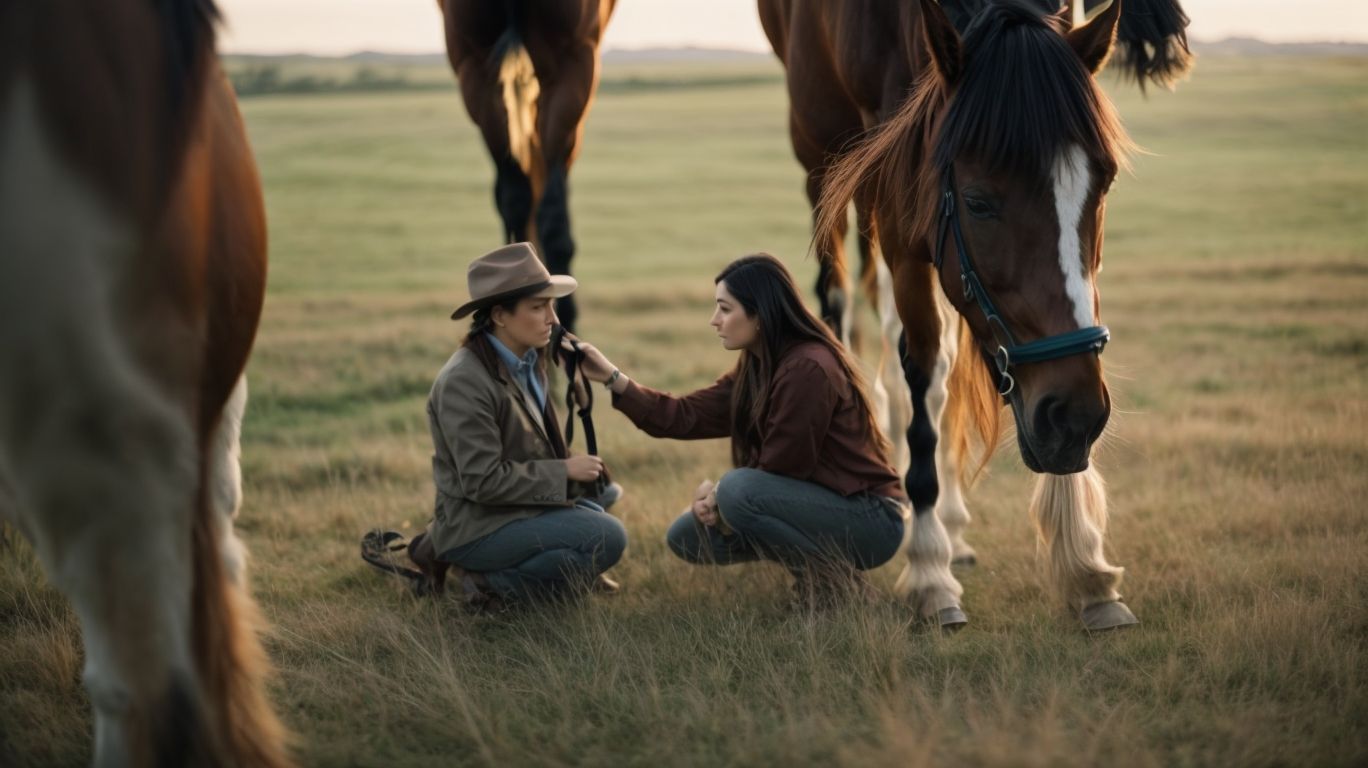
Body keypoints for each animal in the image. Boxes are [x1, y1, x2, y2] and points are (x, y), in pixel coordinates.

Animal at [760, 0, 1192, 630]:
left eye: (1103, 185)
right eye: (978, 201)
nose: (1076, 415)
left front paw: (1085, 566)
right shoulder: (895, 205)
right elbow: (921, 374)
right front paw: (928, 569)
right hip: (822, 157)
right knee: (844, 310)